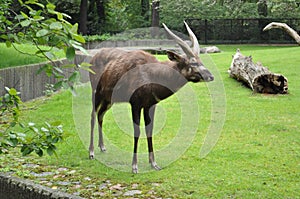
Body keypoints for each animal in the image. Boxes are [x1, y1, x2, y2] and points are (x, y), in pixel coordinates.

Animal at [88, 22, 213, 173]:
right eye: (193, 63)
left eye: (201, 60)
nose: (210, 76)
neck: (153, 76)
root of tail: (92, 59)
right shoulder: (135, 103)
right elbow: (137, 130)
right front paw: (134, 166)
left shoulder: (150, 104)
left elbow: (150, 129)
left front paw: (154, 163)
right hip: (96, 92)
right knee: (93, 115)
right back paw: (91, 152)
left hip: (108, 100)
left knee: (100, 114)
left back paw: (102, 147)